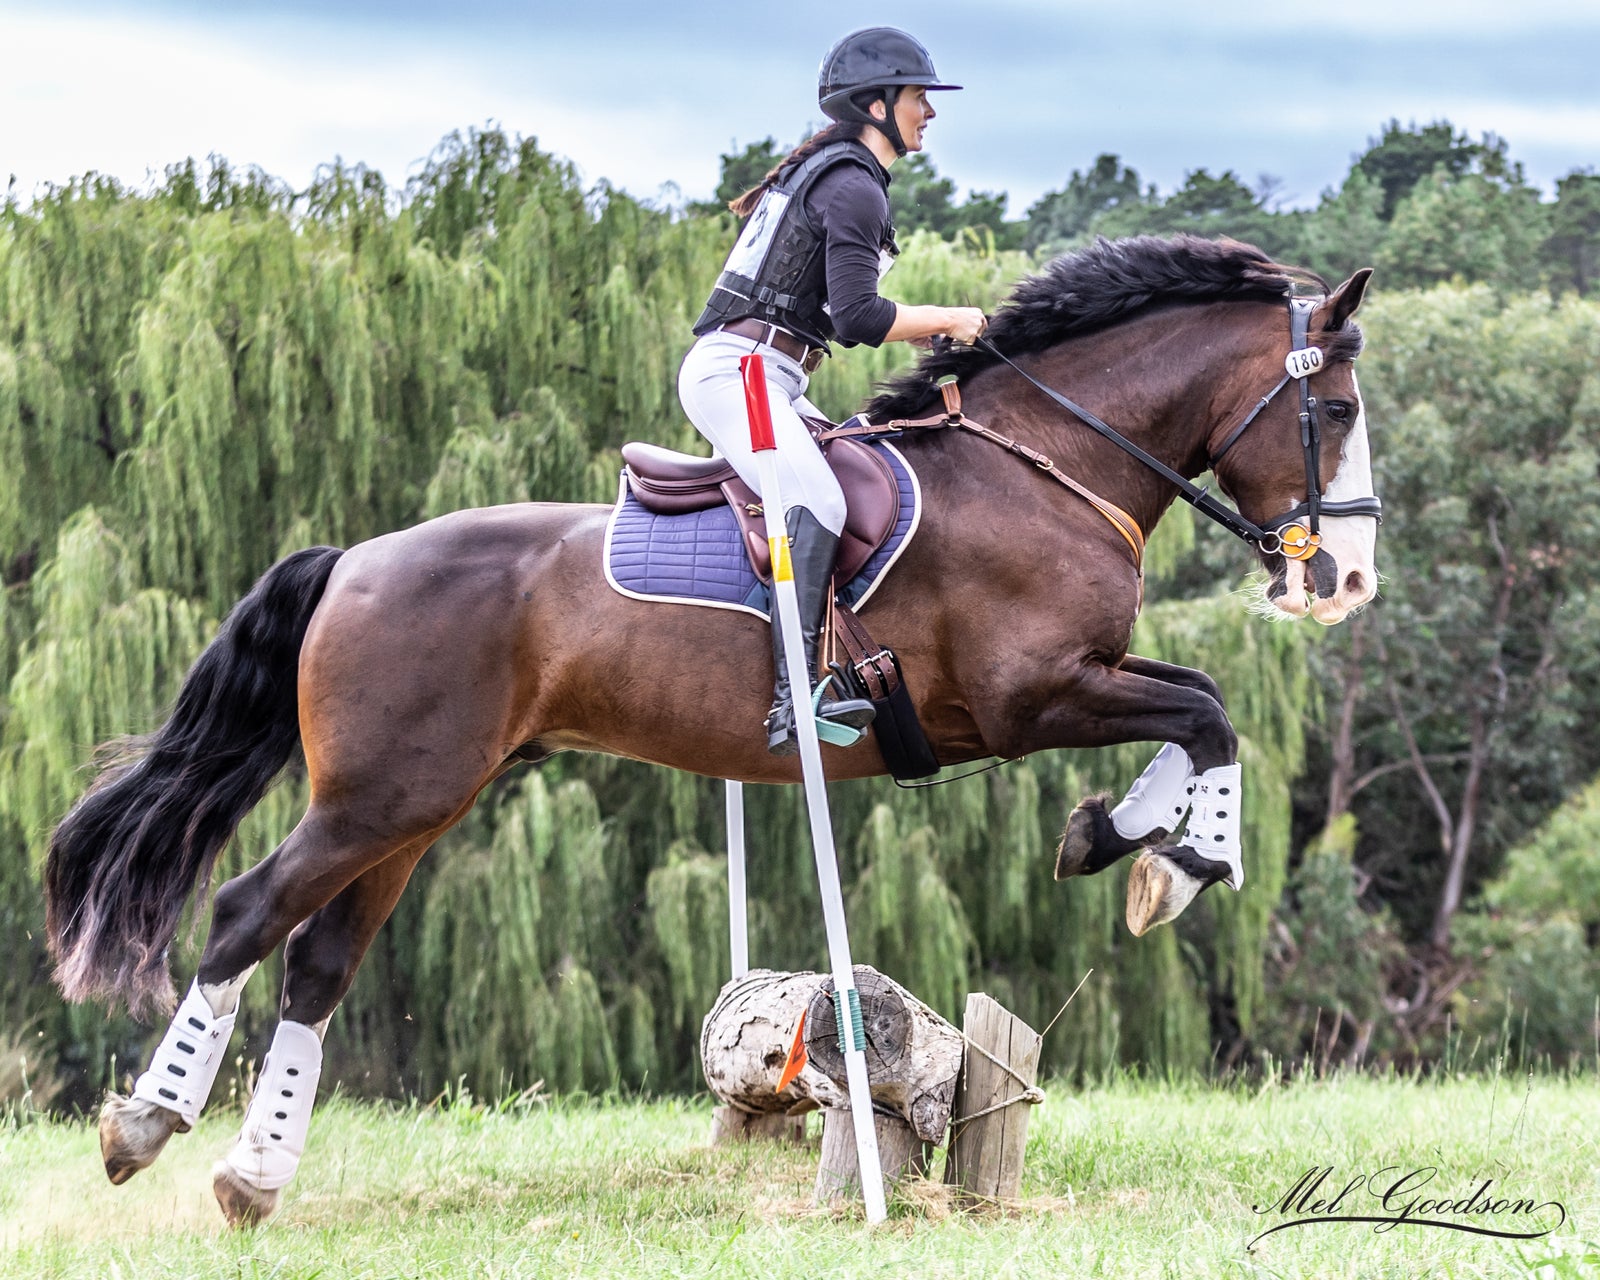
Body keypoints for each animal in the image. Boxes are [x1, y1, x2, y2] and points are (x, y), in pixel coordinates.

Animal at [43, 235, 1379, 1225]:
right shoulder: (1031, 695)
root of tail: (353, 558)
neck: (1042, 464)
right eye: (1337, 403)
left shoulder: (1069, 682)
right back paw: (147, 1121)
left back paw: (254, 1173)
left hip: (415, 804)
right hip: (378, 797)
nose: (1349, 579)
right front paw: (1177, 858)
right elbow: (1208, 714)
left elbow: (1202, 703)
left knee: (319, 958)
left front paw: (1126, 840)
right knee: (243, 912)